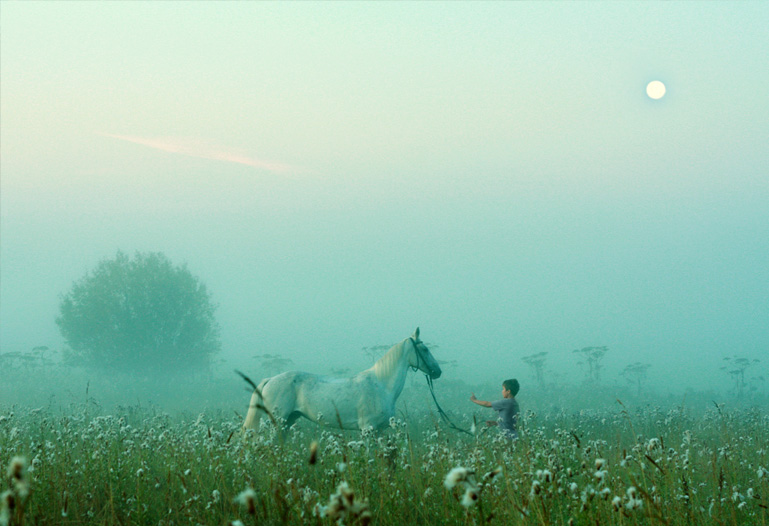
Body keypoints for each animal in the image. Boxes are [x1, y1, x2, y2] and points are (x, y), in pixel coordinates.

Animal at [243, 328, 440, 436]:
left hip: (288, 421)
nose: (438, 371)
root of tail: (270, 380)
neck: (382, 386)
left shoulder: (378, 431)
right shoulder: (368, 430)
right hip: (276, 422)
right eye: (424, 349)